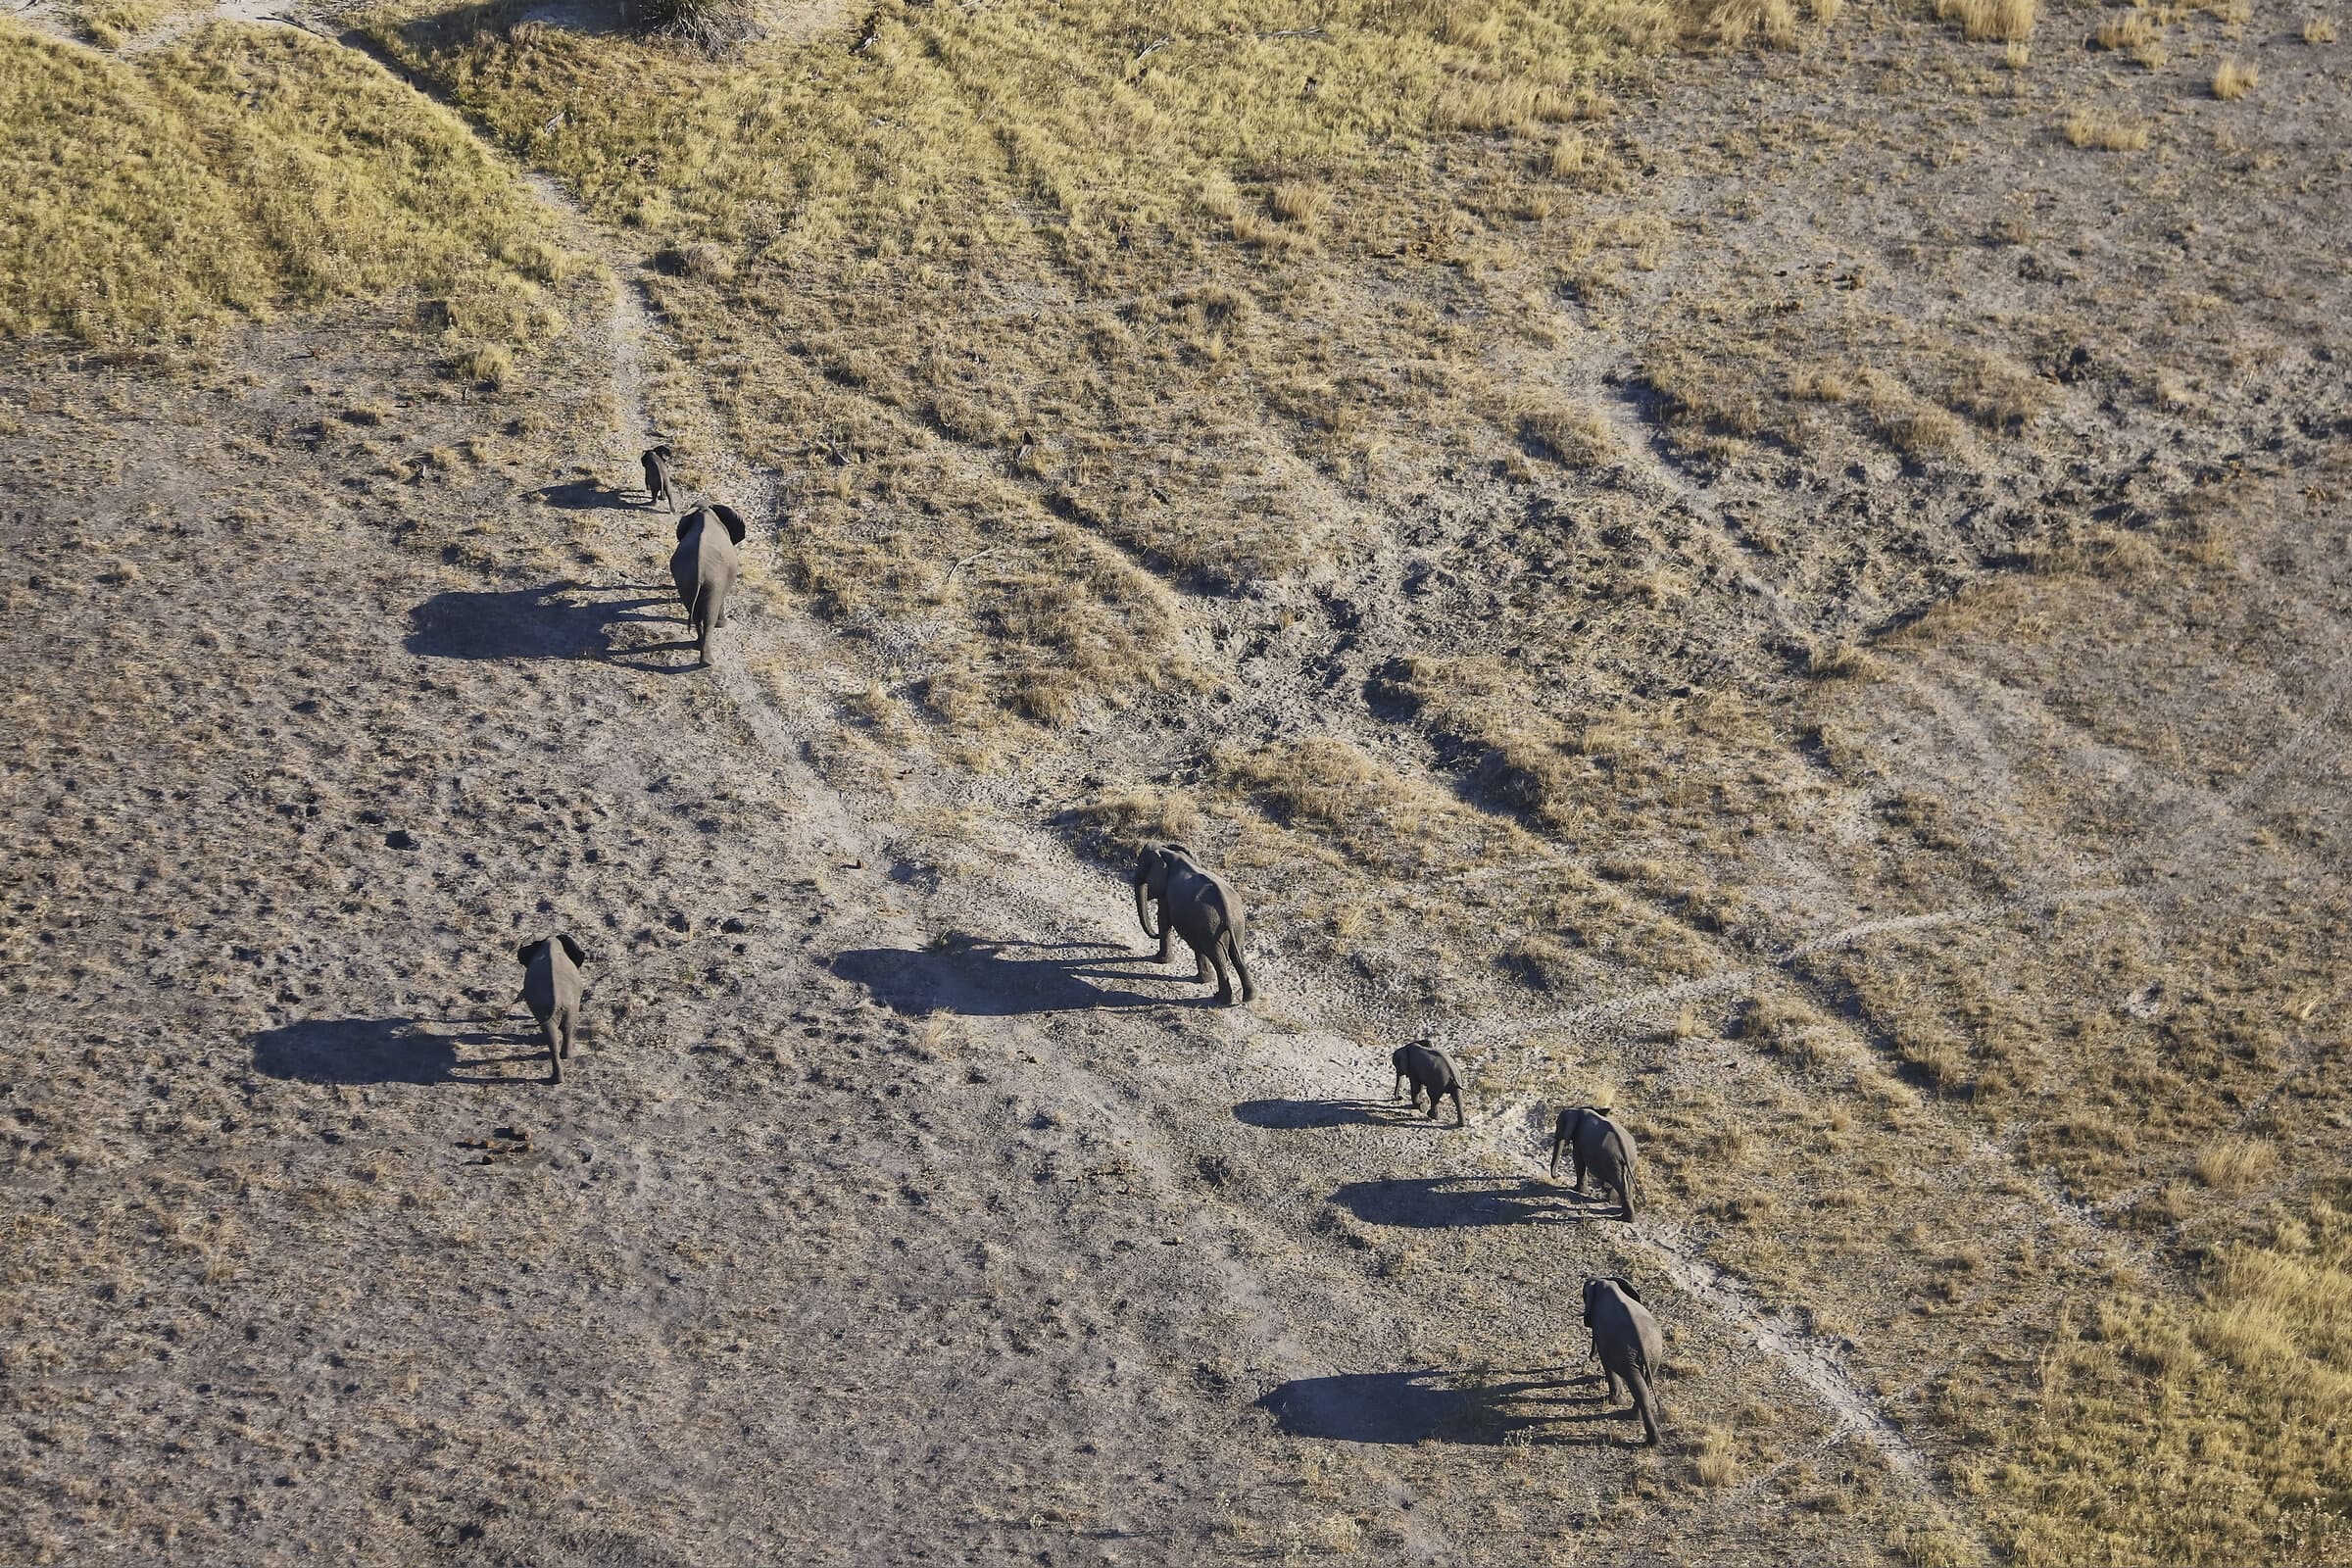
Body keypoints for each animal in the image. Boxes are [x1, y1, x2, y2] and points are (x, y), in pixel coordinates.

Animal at [516, 933, 587, 1085]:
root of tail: (556, 999)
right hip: (567, 1006)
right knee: (564, 1029)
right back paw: (563, 1067)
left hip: (557, 1006)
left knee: (557, 1033)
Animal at [670, 503, 745, 668]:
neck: (704, 509)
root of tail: (699, 570)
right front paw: (723, 624)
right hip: (713, 581)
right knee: (709, 614)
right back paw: (707, 661)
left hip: (686, 580)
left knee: (695, 613)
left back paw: (698, 646)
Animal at [1130, 841, 1255, 1007]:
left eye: (1140, 865)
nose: (1154, 935)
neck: (1168, 851)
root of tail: (1226, 910)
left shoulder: (1167, 892)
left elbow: (1163, 920)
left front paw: (1160, 960)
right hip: (1235, 924)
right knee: (1236, 955)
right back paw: (1249, 997)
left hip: (1212, 925)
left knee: (1218, 957)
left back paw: (1220, 999)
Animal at [1582, 1275, 1663, 1445]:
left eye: (1584, 1295)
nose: (1591, 1357)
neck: (1605, 1283)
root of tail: (1641, 1341)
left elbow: (1606, 1362)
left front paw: (1613, 1402)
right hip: (1654, 1352)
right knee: (1644, 1385)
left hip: (1628, 1354)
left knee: (1638, 1386)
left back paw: (1650, 1439)